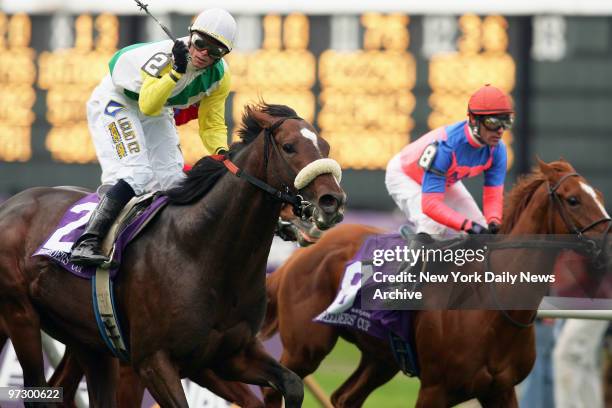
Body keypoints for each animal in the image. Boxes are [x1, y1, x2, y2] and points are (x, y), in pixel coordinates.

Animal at [0, 103, 344, 408]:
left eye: (325, 146)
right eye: (289, 147)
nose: (332, 201)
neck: (202, 251)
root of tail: (12, 203)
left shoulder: (231, 355)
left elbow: (292, 384)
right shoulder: (152, 362)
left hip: (87, 341)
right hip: (21, 315)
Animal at [262, 160, 612, 408]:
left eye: (599, 196)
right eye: (573, 200)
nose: (609, 242)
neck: (490, 304)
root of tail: (303, 252)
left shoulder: (501, 390)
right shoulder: (435, 389)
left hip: (381, 356)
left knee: (344, 398)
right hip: (306, 347)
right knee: (275, 390)